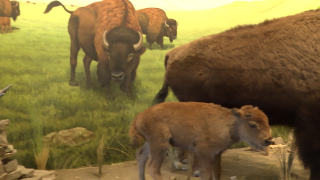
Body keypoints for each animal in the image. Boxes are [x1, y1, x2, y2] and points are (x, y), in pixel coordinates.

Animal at [129, 102, 274, 179]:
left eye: (266, 121)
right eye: (252, 124)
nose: (268, 140)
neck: (228, 123)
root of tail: (139, 115)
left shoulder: (217, 154)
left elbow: (217, 174)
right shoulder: (204, 154)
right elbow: (206, 174)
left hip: (151, 143)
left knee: (140, 155)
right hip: (160, 145)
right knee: (153, 167)